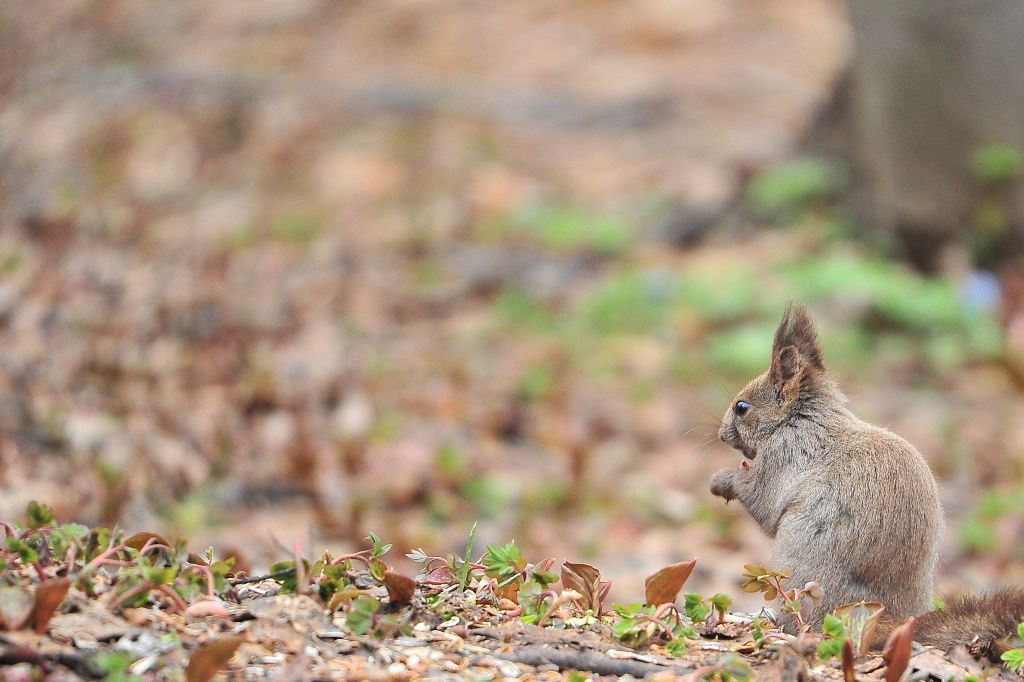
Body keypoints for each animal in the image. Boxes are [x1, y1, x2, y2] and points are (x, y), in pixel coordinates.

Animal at [708, 303, 1024, 647]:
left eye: (742, 407)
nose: (722, 435)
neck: (801, 419)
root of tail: (888, 617)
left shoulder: (784, 456)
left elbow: (762, 501)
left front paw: (722, 481)